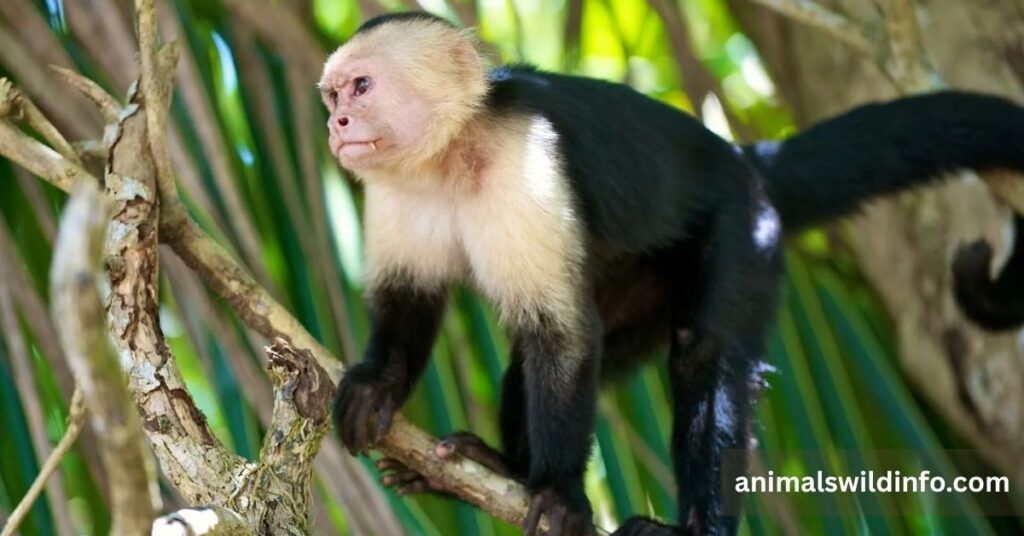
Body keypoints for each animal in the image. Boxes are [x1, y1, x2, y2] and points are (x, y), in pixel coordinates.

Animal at [319, 12, 1024, 536]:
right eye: (332, 95)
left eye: (362, 87)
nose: (335, 124)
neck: (449, 154)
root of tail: (744, 160)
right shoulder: (394, 189)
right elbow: (410, 301)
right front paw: (378, 387)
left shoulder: (525, 159)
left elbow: (563, 334)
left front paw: (560, 493)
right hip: (642, 289)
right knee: (544, 358)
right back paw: (500, 470)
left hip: (743, 230)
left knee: (701, 355)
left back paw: (690, 525)